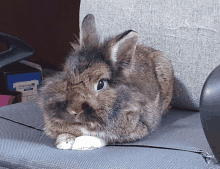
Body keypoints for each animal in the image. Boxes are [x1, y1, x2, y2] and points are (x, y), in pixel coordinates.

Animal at [37, 13, 174, 150]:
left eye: (101, 84)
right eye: (66, 78)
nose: (73, 110)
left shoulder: (133, 130)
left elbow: (100, 138)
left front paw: (79, 145)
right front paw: (64, 142)